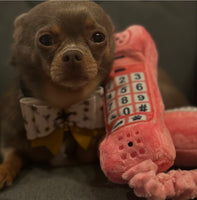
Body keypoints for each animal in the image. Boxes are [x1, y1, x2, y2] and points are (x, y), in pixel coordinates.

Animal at [0, 0, 114, 189]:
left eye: (98, 37)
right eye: (45, 39)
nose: (73, 54)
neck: (64, 102)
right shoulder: (11, 140)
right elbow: (12, 155)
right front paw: (4, 171)